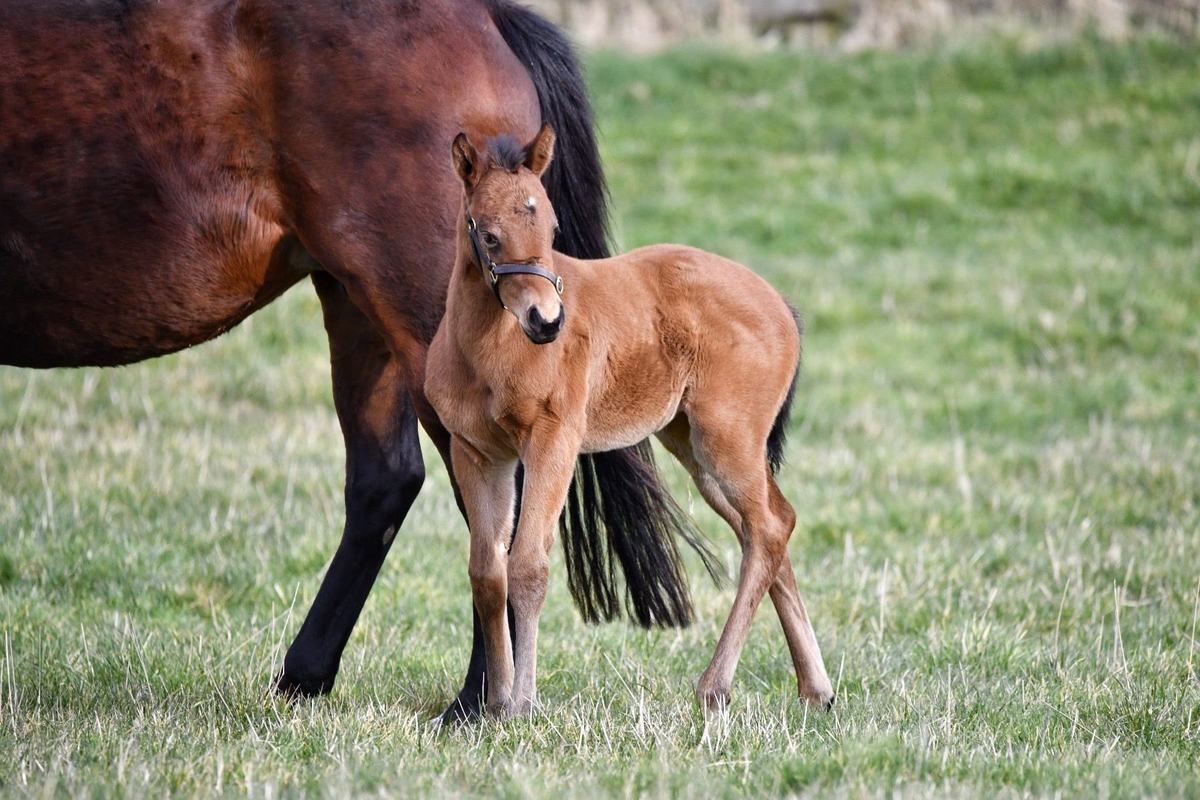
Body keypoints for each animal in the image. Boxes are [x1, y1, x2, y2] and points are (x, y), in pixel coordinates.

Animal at [0, 0, 704, 724]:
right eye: (494, 231)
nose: (546, 317)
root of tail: (487, 18)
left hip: (412, 318)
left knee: (486, 513)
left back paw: (479, 700)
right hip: (361, 308)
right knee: (393, 483)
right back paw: (312, 675)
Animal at [425, 126, 837, 715]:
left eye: (552, 227)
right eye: (490, 235)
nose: (547, 322)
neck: (490, 349)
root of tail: (781, 304)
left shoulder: (554, 440)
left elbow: (528, 565)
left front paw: (522, 704)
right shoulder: (478, 452)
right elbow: (487, 571)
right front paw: (495, 703)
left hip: (726, 441)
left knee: (768, 528)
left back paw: (715, 686)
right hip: (693, 446)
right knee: (771, 525)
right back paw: (815, 687)